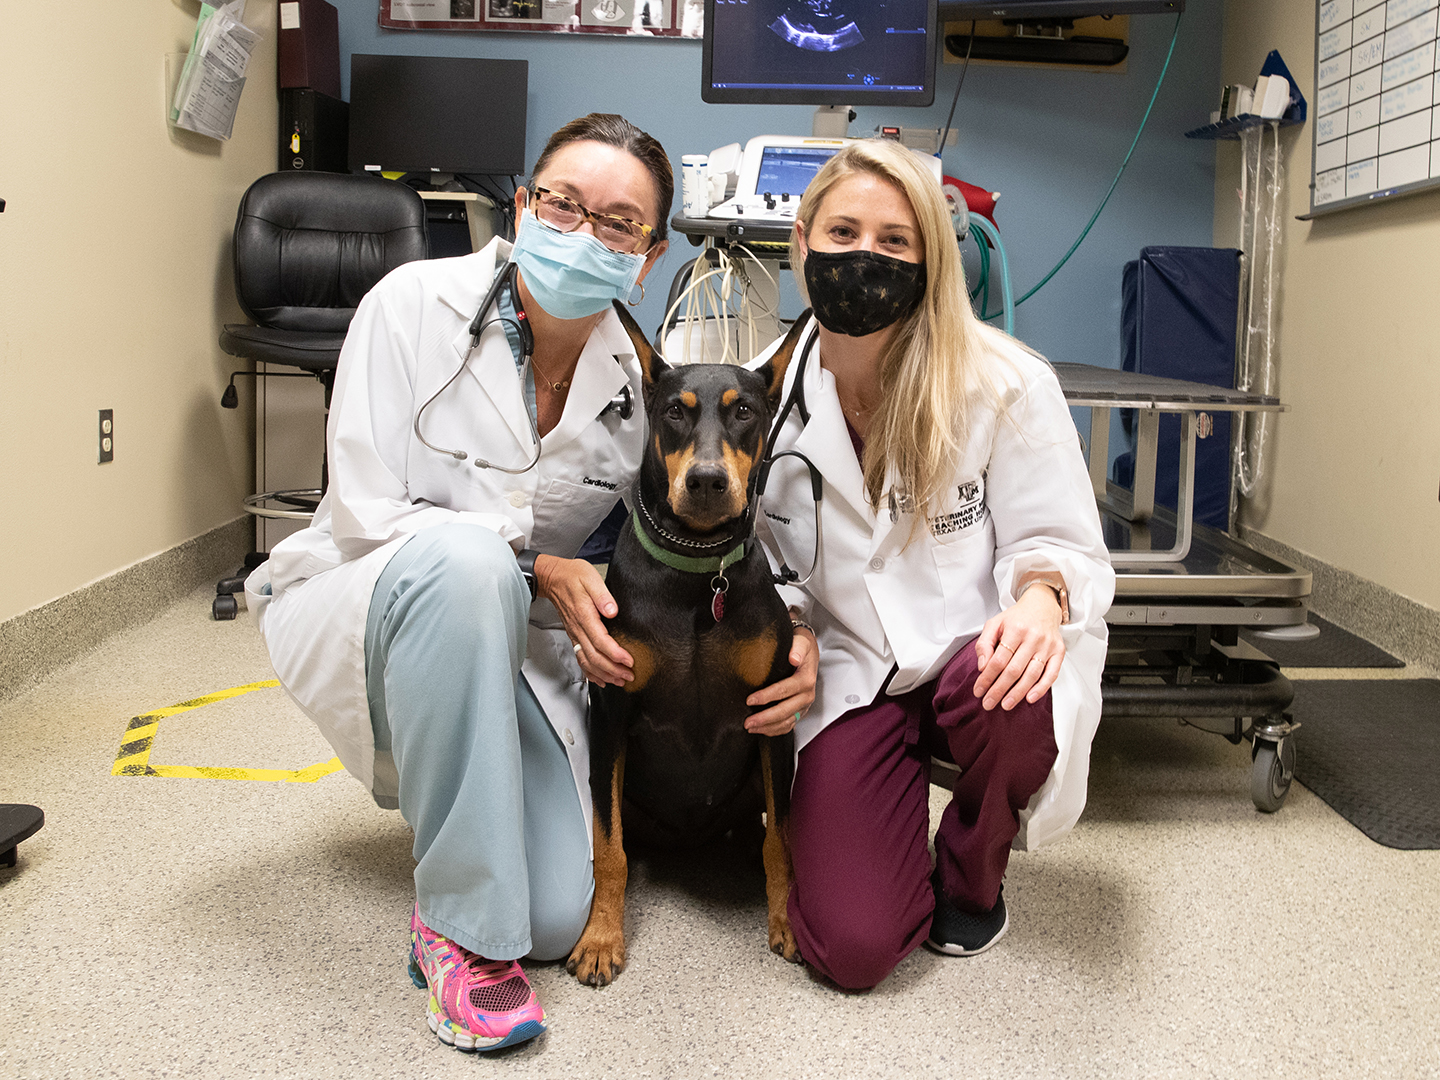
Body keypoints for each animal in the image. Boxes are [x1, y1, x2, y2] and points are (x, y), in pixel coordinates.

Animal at [567, 300, 817, 984]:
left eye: (744, 411)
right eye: (675, 411)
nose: (706, 482)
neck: (699, 573)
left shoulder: (772, 713)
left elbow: (782, 840)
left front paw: (786, 920)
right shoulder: (611, 710)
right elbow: (607, 848)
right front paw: (601, 938)